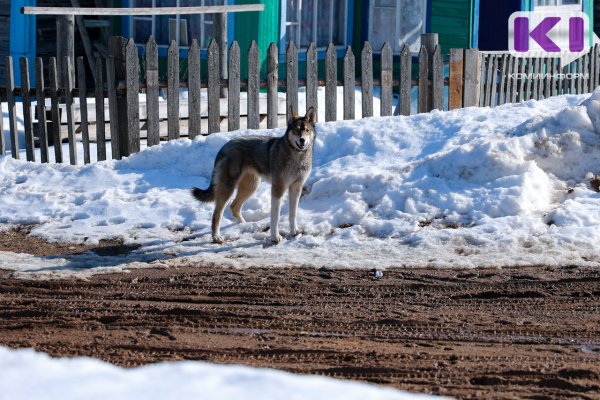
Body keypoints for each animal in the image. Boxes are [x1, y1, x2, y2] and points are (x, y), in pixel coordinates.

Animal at [192, 107, 316, 244]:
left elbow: (293, 213)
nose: (302, 140)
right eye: (296, 130)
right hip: (229, 189)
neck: (297, 156)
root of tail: (224, 147)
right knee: (217, 214)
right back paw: (217, 237)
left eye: (307, 130)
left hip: (250, 187)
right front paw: (275, 237)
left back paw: (244, 225)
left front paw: (294, 231)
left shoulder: (296, 187)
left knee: (234, 207)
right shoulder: (278, 189)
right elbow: (276, 216)